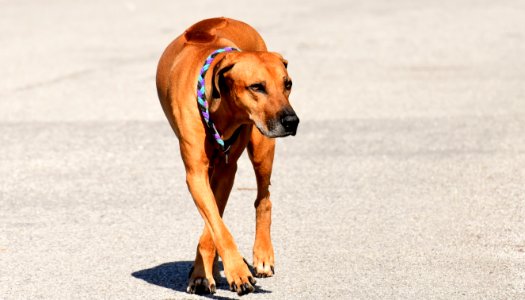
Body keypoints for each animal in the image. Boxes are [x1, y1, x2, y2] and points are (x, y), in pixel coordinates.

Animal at [155, 17, 298, 296]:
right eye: (257, 87)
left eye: (287, 84)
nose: (291, 121)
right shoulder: (196, 174)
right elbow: (217, 225)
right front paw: (209, 273)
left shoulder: (226, 171)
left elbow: (214, 226)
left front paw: (206, 272)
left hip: (262, 147)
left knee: (263, 199)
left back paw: (263, 255)